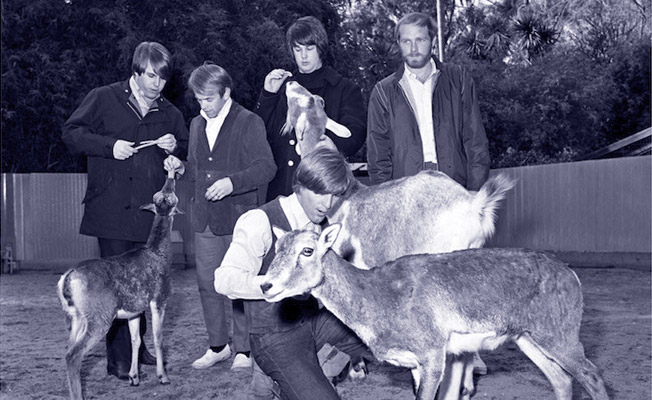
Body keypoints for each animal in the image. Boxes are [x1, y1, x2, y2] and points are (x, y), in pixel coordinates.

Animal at [57, 173, 181, 400]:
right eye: (168, 196)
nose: (170, 177)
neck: (159, 254)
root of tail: (68, 279)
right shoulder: (160, 298)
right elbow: (158, 337)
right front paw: (163, 376)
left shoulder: (134, 310)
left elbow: (135, 340)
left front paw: (134, 377)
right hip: (100, 316)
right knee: (73, 355)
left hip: (76, 317)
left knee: (68, 349)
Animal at [258, 225, 612, 400]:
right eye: (276, 249)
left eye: (308, 250)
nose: (266, 285)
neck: (377, 297)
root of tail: (571, 275)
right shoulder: (415, 364)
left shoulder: (433, 353)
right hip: (528, 338)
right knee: (562, 381)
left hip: (559, 336)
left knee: (592, 375)